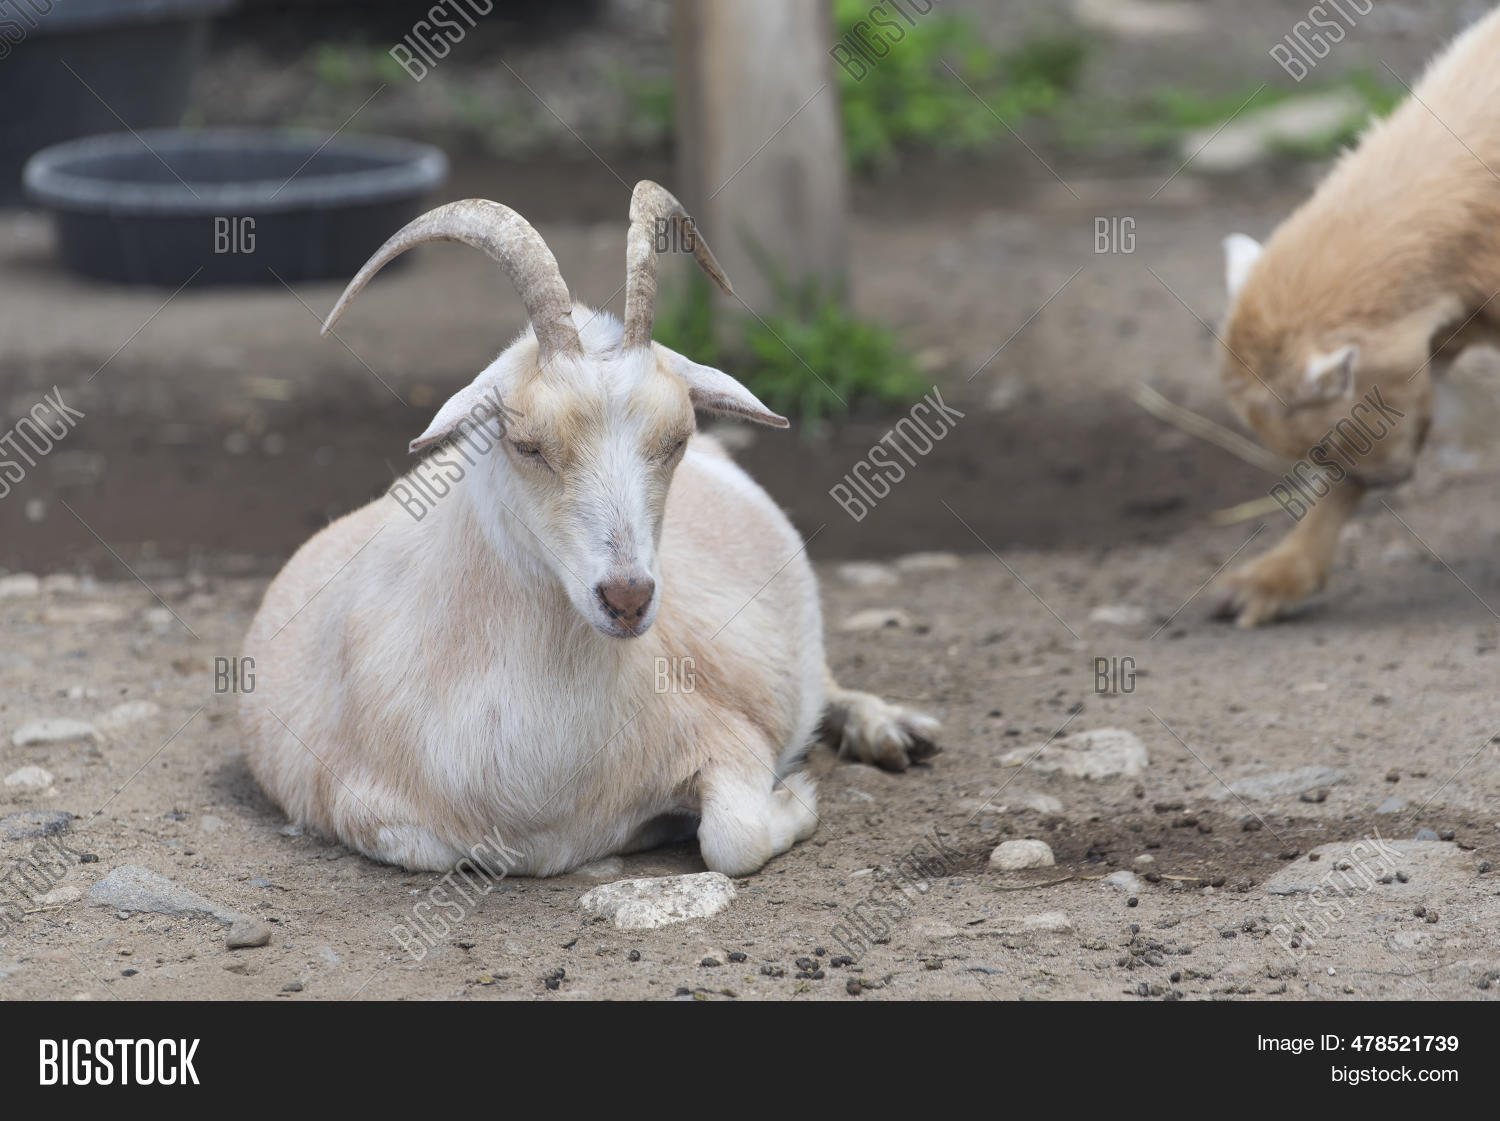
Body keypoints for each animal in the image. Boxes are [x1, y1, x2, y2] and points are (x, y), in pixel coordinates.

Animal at [239, 181, 939, 876]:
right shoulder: (371, 813)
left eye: (677, 438)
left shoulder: (726, 730)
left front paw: (795, 794)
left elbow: (732, 839)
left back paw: (894, 732)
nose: (627, 598)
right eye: (525, 444)